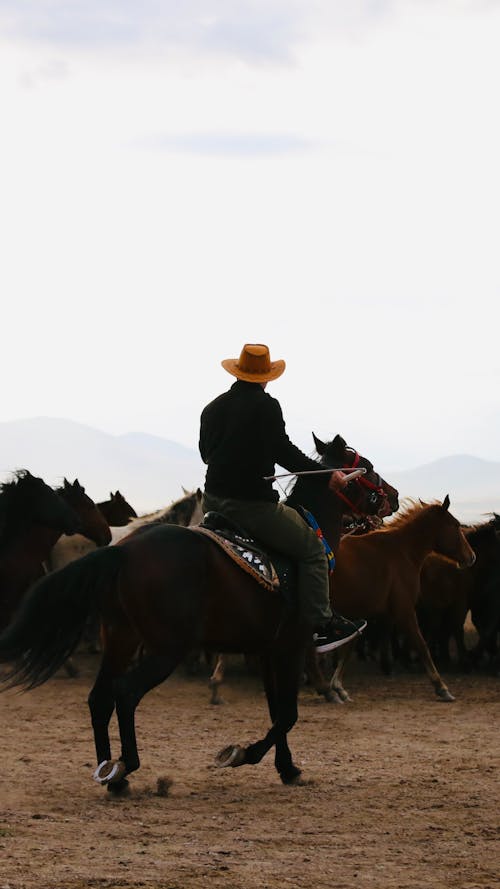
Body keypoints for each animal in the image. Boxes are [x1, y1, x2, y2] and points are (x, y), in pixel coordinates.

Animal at [0, 436, 396, 792]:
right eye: (368, 468)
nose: (392, 496)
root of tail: (122, 552)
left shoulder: (269, 651)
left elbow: (277, 711)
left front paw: (287, 768)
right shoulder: (292, 648)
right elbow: (287, 714)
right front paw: (242, 754)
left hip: (120, 637)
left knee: (100, 697)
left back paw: (110, 774)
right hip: (165, 648)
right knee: (125, 693)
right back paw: (126, 767)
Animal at [310, 500, 474, 700]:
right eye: (456, 525)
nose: (471, 557)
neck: (402, 552)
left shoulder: (363, 613)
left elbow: (349, 647)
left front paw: (338, 686)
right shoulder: (404, 610)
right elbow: (421, 644)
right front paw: (441, 686)